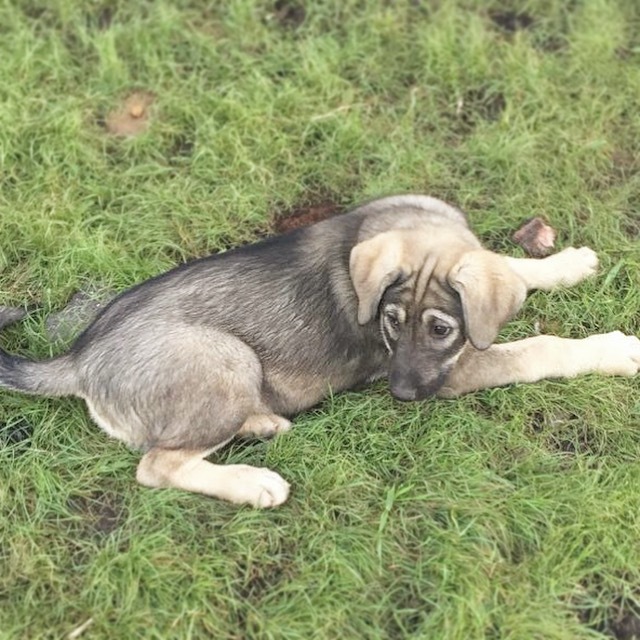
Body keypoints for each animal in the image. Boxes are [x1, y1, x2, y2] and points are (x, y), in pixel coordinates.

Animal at [0, 195, 636, 504]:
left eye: (439, 329)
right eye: (390, 322)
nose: (401, 395)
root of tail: (79, 358)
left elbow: (515, 269)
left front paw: (567, 263)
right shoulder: (456, 372)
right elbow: (539, 348)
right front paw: (617, 350)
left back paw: (261, 423)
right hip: (225, 360)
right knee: (157, 465)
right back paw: (254, 483)